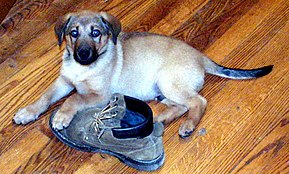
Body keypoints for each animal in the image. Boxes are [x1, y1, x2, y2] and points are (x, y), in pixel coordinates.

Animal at [12, 11, 272, 138]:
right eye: (73, 33)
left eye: (96, 33)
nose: (83, 54)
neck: (83, 68)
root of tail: (201, 57)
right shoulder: (64, 81)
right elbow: (45, 97)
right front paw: (27, 112)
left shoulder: (99, 95)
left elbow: (74, 98)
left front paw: (61, 116)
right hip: (162, 92)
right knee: (182, 105)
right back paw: (160, 119)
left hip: (168, 82)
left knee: (198, 102)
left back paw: (188, 125)